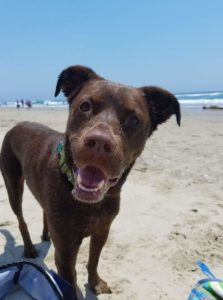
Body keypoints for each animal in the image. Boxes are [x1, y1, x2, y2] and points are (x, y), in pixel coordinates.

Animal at [0, 65, 180, 298]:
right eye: (85, 106)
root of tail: (17, 125)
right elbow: (70, 282)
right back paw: (29, 247)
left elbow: (94, 260)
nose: (100, 143)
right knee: (20, 218)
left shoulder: (102, 231)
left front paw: (95, 282)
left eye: (134, 120)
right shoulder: (65, 252)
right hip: (12, 184)